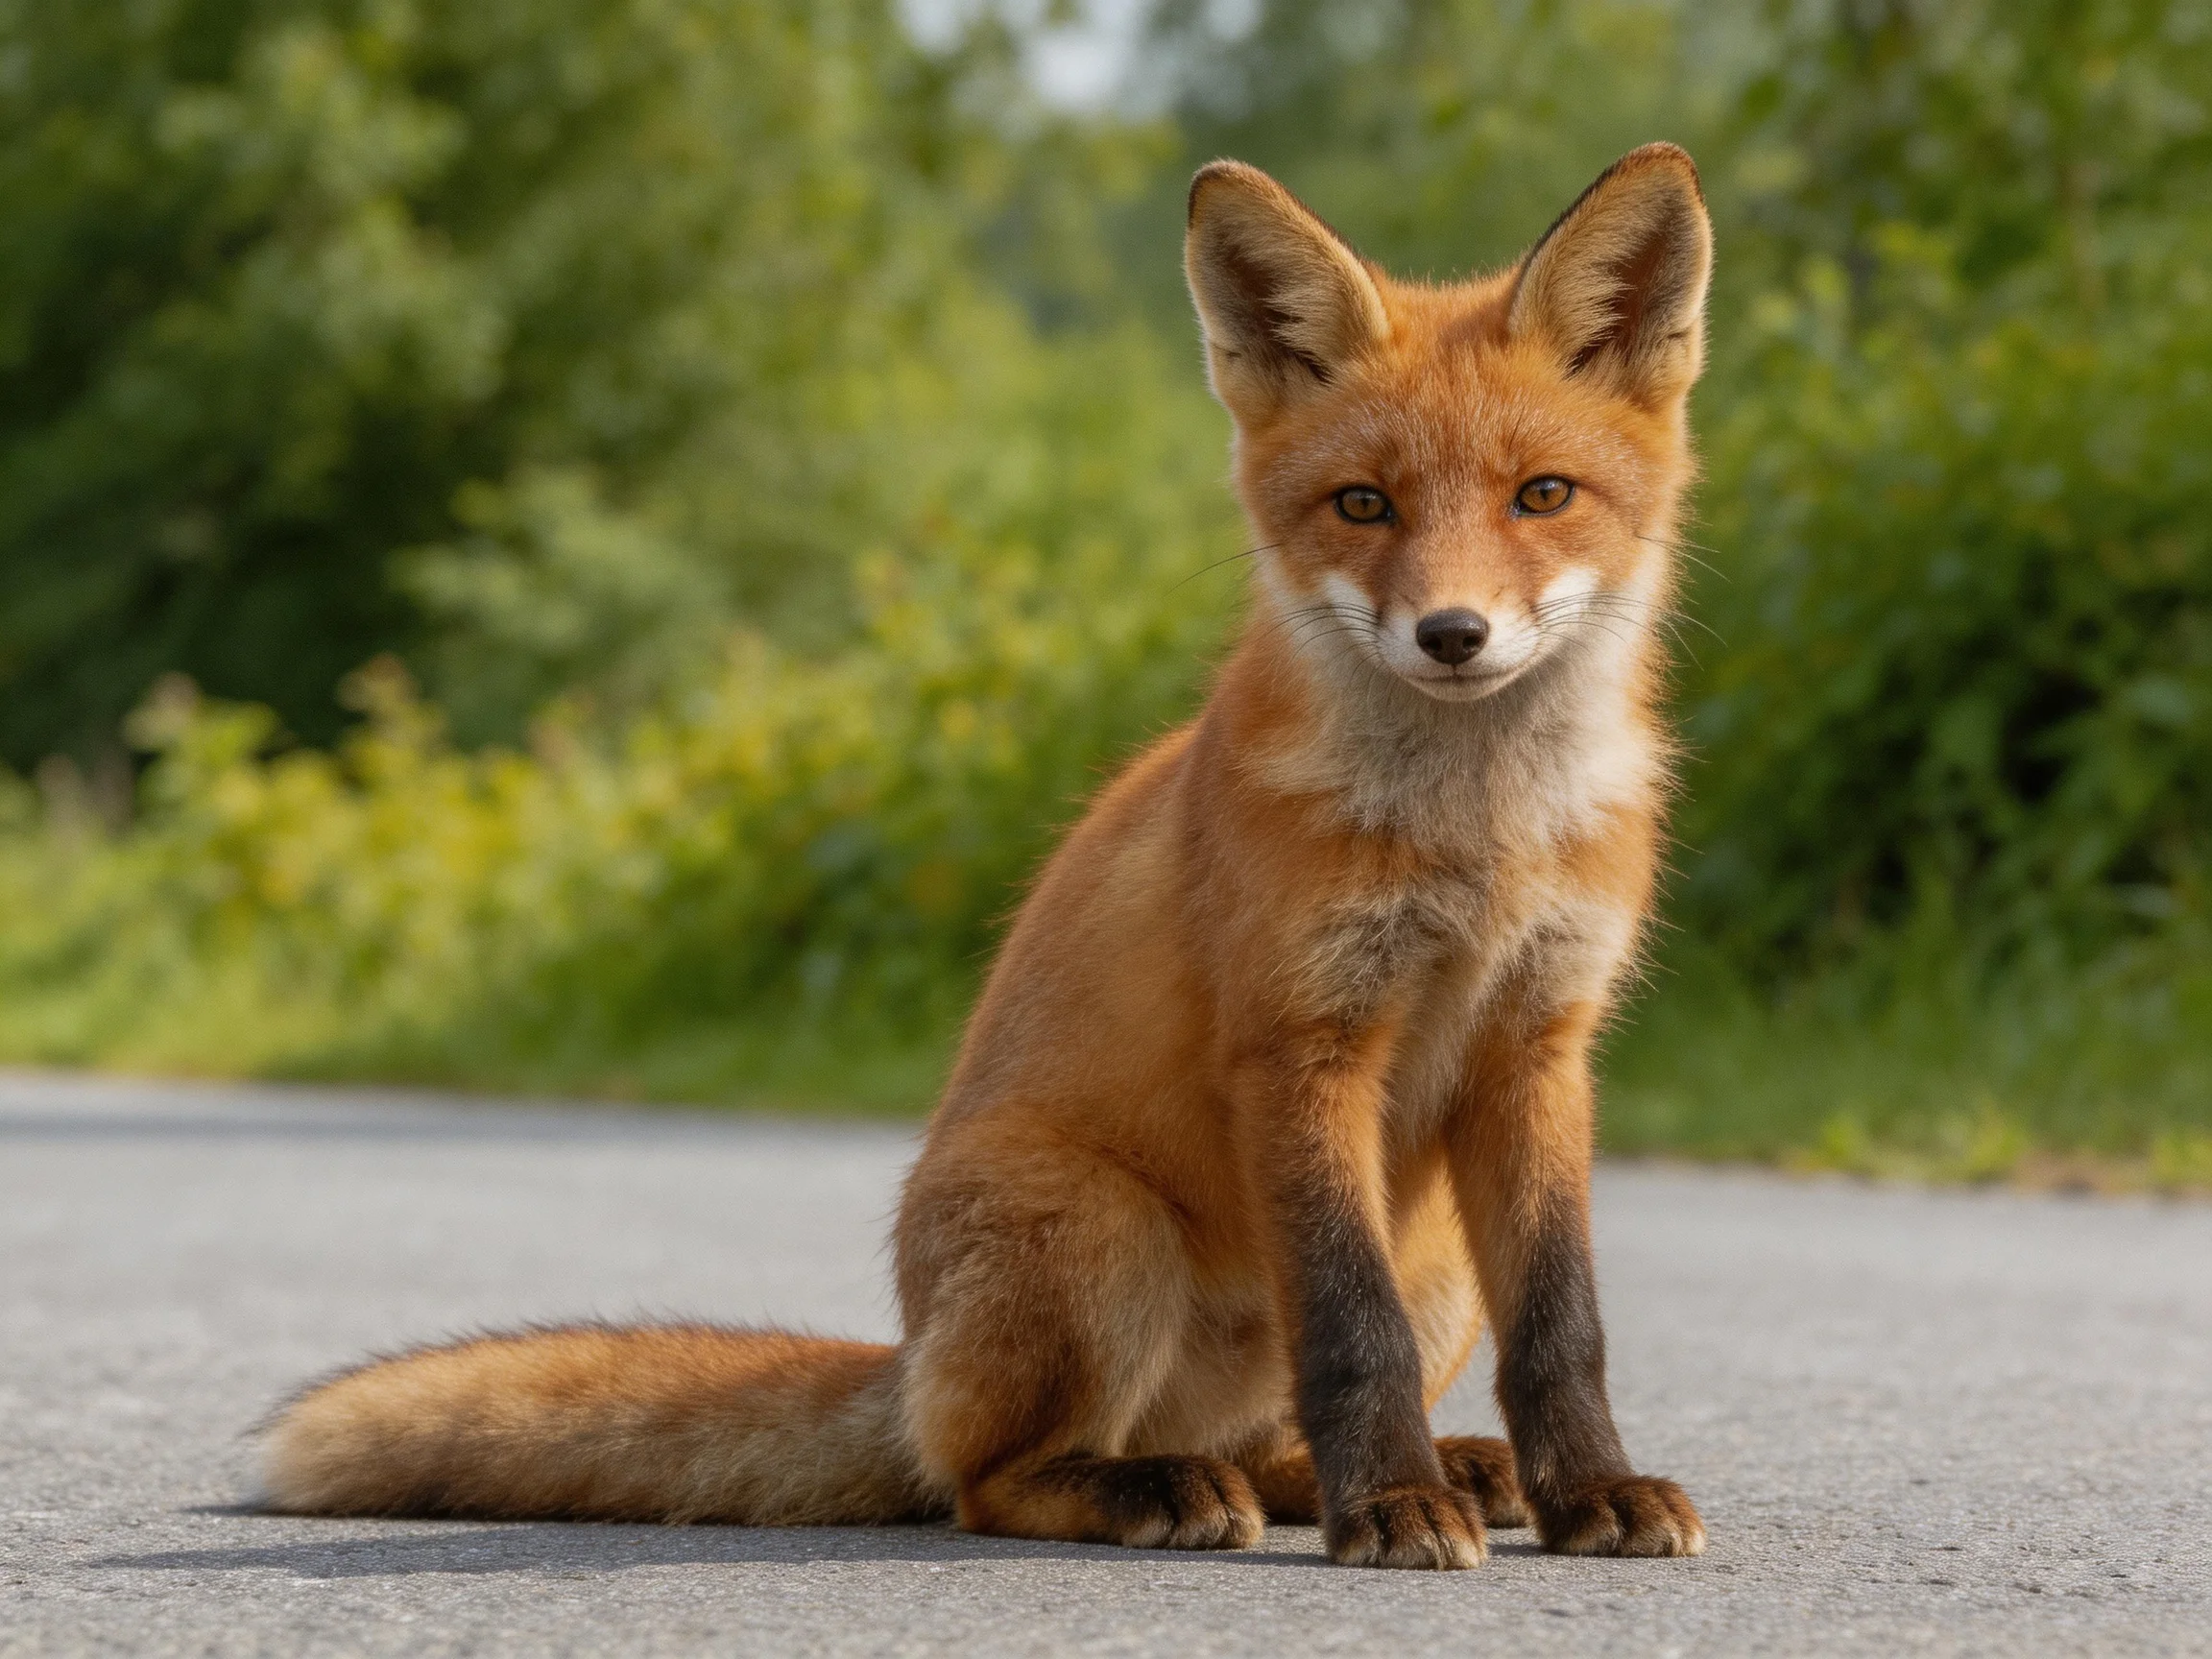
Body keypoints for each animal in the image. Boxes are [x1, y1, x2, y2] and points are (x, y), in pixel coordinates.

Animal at [262, 144, 1713, 1570]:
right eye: (1363, 504)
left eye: (1542, 497)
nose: (1453, 634)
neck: (1478, 841)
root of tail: (908, 1366)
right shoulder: (1301, 1045)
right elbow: (1352, 1336)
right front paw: (1393, 1510)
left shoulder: (1539, 1045)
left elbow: (1563, 1328)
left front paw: (1592, 1491)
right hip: (1096, 1228)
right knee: (991, 1481)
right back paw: (1171, 1489)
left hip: (1432, 1259)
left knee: (1264, 1441)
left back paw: (1426, 1471)